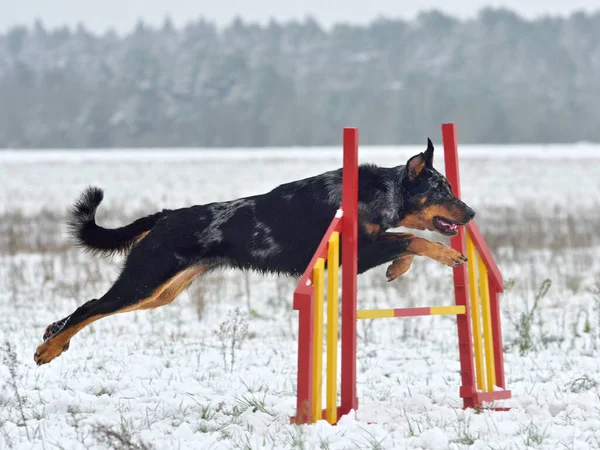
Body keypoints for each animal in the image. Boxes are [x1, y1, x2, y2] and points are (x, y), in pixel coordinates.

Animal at [34, 138, 474, 366]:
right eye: (441, 189)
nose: (470, 213)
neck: (379, 193)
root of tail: (165, 216)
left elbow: (406, 241)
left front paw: (398, 269)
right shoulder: (358, 252)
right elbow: (413, 239)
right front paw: (447, 257)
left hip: (160, 293)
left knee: (87, 309)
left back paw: (52, 337)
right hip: (144, 281)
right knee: (90, 306)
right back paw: (48, 347)